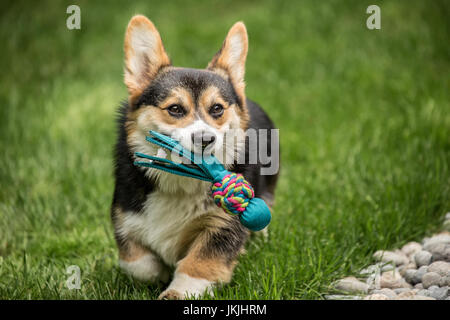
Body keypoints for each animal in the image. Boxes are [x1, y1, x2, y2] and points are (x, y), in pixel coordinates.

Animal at [110, 15, 278, 300]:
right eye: (175, 109)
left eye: (217, 109)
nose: (205, 140)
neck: (180, 184)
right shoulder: (125, 218)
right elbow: (139, 264)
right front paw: (159, 274)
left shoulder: (221, 224)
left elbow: (198, 264)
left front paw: (176, 292)